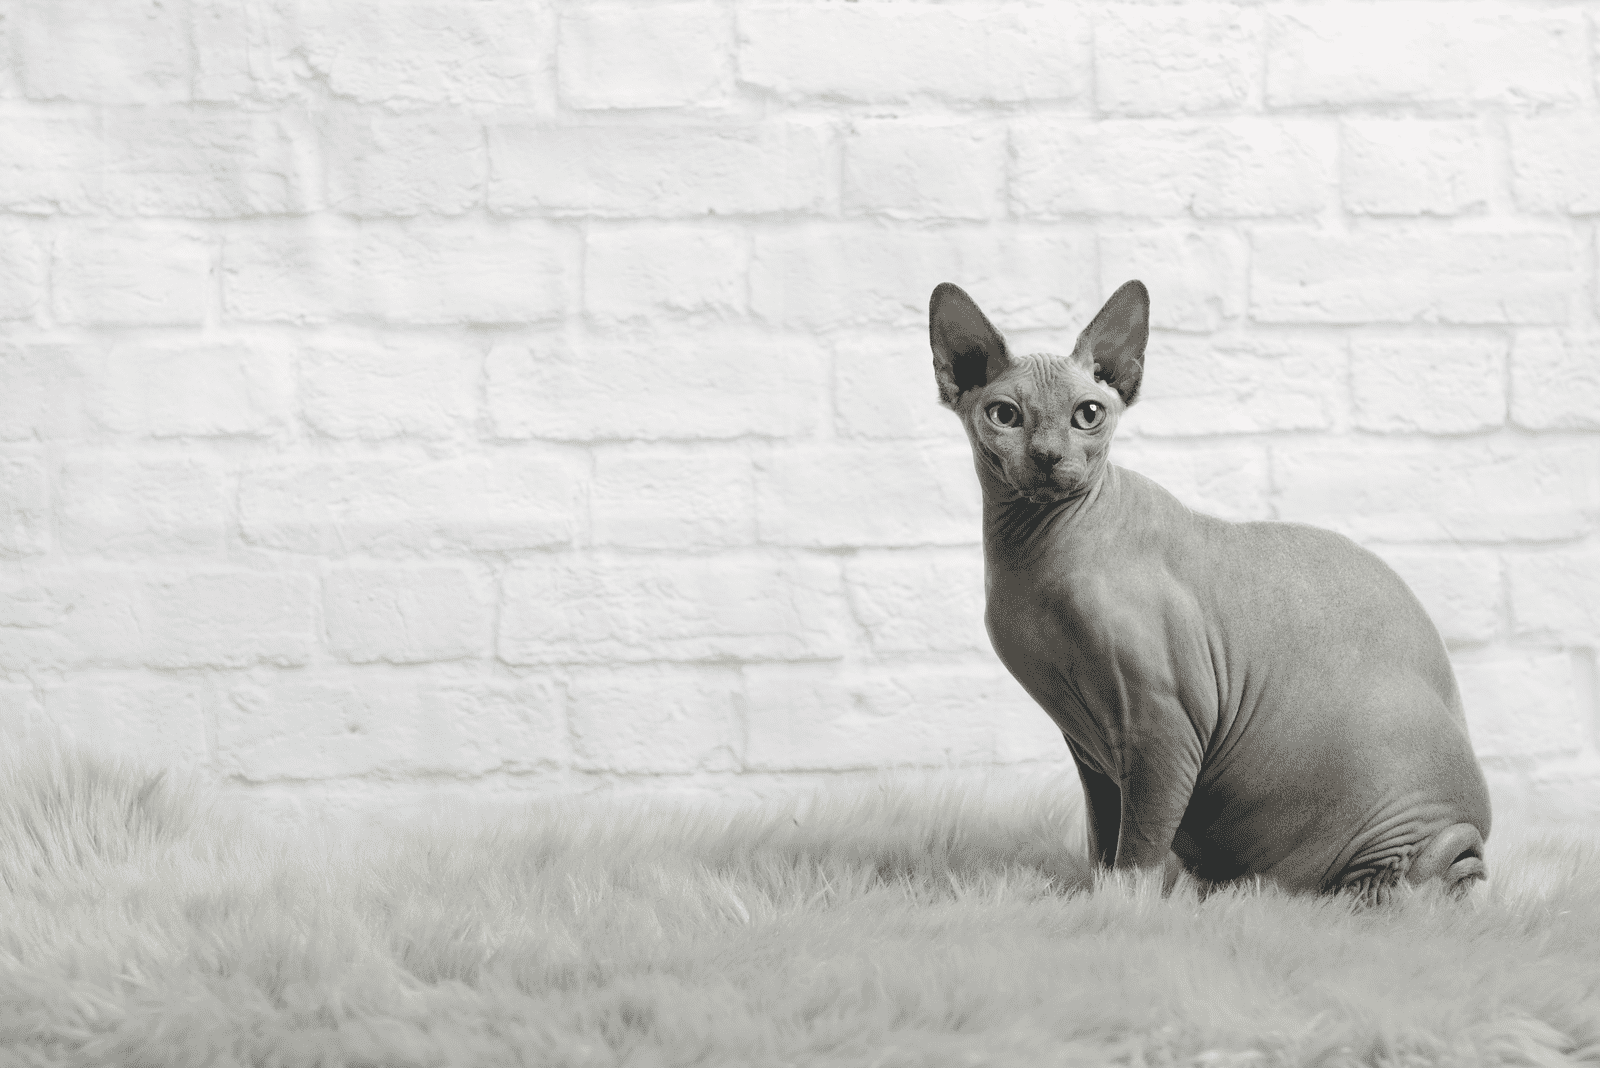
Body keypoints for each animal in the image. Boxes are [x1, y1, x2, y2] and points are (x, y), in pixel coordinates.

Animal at [934, 279, 1491, 895]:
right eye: (1005, 415)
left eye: (1088, 414)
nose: (1048, 456)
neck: (1035, 553)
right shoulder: (1091, 750)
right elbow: (1103, 840)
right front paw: (1094, 894)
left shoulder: (1164, 727)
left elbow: (1139, 848)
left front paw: (1123, 903)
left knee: (1421, 879)